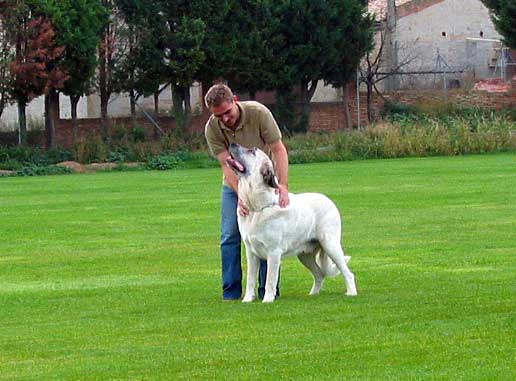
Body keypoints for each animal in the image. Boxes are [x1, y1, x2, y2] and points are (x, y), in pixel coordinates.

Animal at [228, 143, 356, 302]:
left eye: (252, 151)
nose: (232, 144)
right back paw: (313, 294)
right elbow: (250, 279)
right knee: (319, 274)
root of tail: (329, 200)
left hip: (330, 245)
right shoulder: (251, 253)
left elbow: (270, 280)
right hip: (305, 255)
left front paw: (267, 300)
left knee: (348, 273)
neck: (257, 208)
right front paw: (247, 300)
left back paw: (351, 292)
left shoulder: (273, 252)